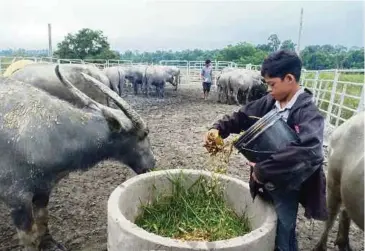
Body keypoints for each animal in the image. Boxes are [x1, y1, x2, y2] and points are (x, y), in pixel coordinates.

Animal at [0, 65, 155, 251]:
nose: (152, 164)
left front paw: (50, 243)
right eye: (144, 133)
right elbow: (30, 239)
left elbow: (43, 218)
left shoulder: (43, 189)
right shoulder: (17, 199)